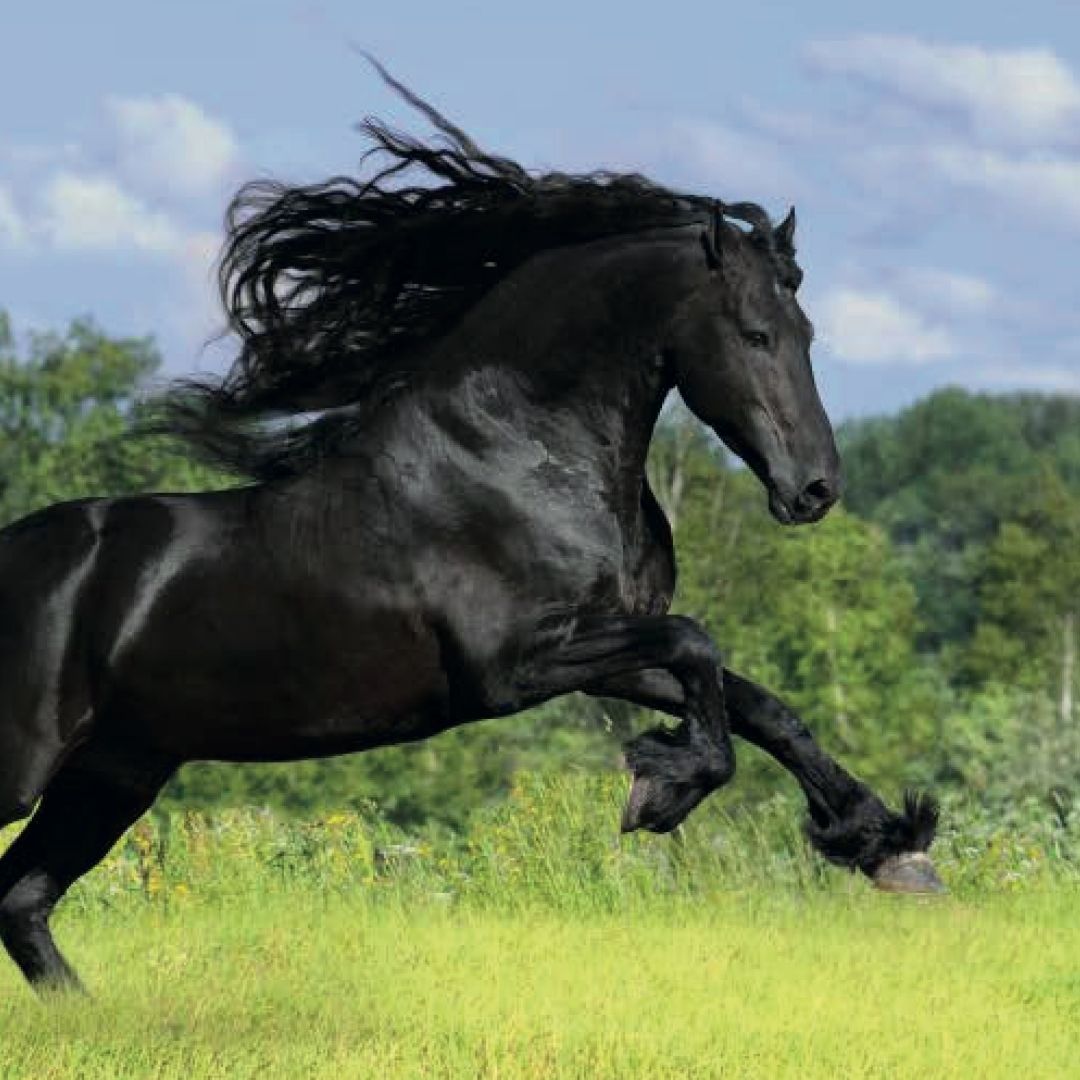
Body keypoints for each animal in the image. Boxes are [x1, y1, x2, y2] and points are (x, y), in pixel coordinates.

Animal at [0, 63, 941, 994]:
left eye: (806, 331)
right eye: (754, 334)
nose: (815, 488)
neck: (514, 458)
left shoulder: (605, 654)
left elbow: (757, 702)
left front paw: (888, 844)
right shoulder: (512, 669)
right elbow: (698, 643)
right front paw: (661, 791)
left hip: (114, 772)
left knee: (21, 900)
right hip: (34, 768)